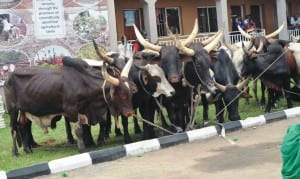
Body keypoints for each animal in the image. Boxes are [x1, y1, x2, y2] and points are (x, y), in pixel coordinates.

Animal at [4, 55, 134, 155]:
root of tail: (7, 78)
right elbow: (78, 130)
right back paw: (15, 152)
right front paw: (82, 148)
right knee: (13, 128)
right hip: (13, 109)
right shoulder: (71, 110)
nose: (130, 113)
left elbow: (96, 124)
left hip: (24, 110)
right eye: (122, 94)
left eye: (129, 93)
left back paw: (27, 149)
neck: (83, 82)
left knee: (22, 125)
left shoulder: (83, 111)